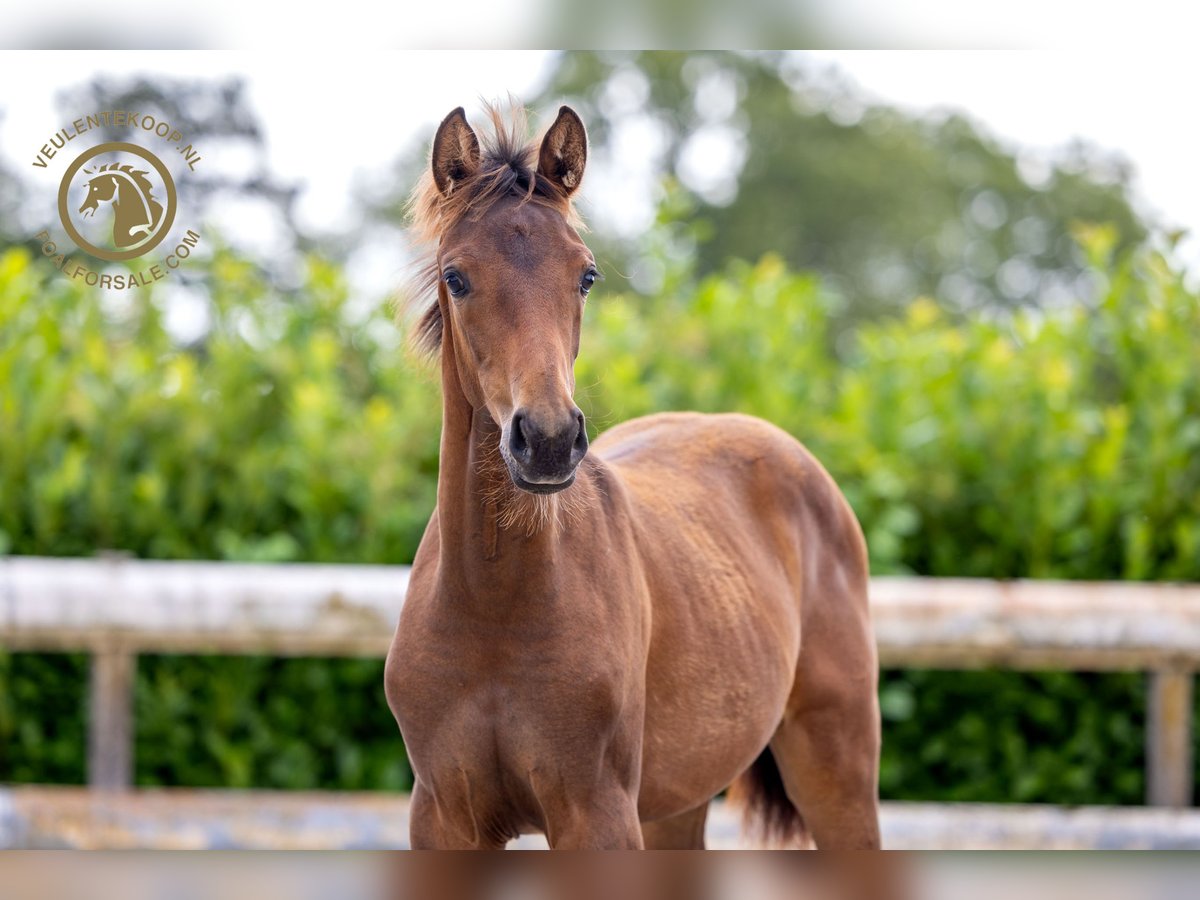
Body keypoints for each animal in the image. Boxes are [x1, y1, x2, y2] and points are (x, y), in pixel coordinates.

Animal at [386, 105, 883, 854]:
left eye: (586, 275)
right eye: (457, 276)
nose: (549, 440)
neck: (492, 608)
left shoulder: (599, 814)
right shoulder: (443, 818)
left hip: (837, 770)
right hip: (679, 802)